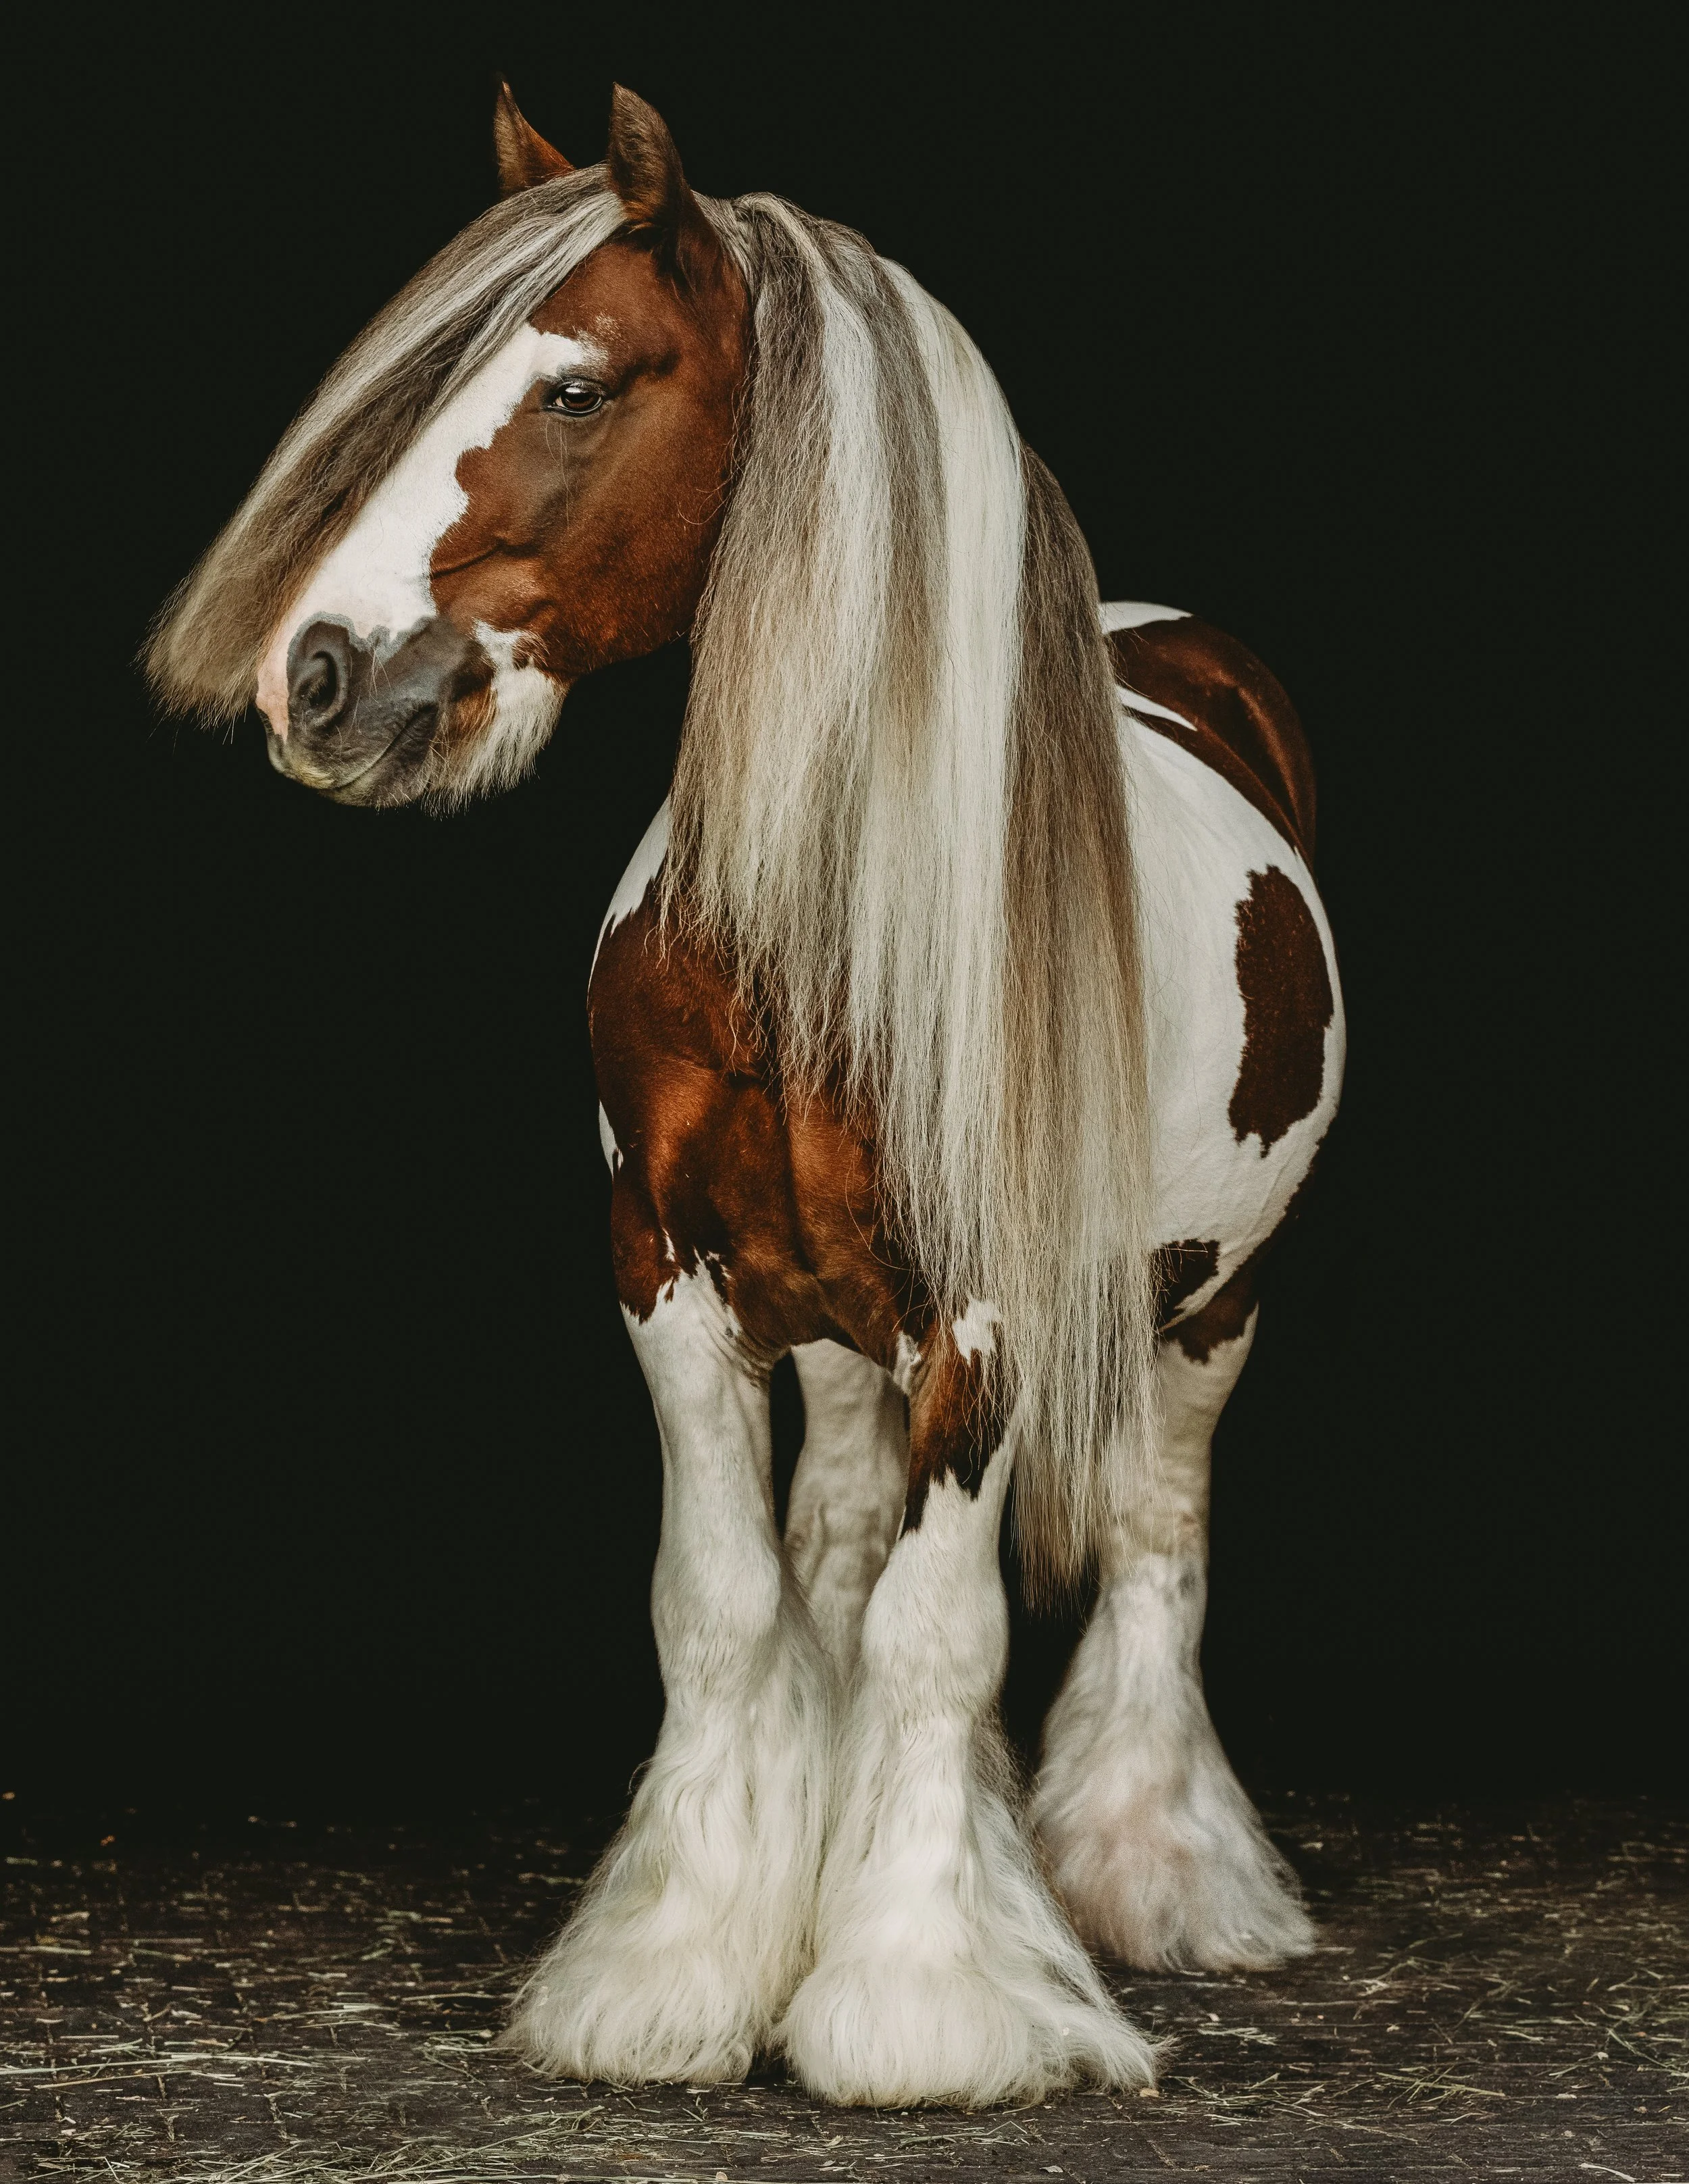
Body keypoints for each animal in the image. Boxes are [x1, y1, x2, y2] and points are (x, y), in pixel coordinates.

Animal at [148, 84, 1344, 2109]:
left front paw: (924, 2002)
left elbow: (941, 1631)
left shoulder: (989, 1318)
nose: (317, 677)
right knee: (841, 1556)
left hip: (1204, 1311)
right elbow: (724, 1605)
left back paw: (1156, 1882)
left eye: (574, 386)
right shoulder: (667, 1282)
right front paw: (679, 1970)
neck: (821, 943)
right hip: (851, 1339)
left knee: (1151, 1545)